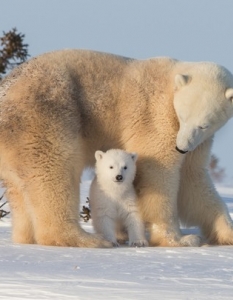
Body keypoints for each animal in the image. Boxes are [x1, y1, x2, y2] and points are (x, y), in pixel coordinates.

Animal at [0, 48, 233, 246]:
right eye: (182, 116)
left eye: (204, 124)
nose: (181, 148)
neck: (171, 81)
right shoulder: (156, 117)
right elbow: (158, 174)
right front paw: (180, 239)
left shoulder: (199, 142)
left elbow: (192, 180)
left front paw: (227, 233)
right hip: (45, 114)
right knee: (55, 170)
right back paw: (88, 239)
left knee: (19, 189)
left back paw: (25, 237)